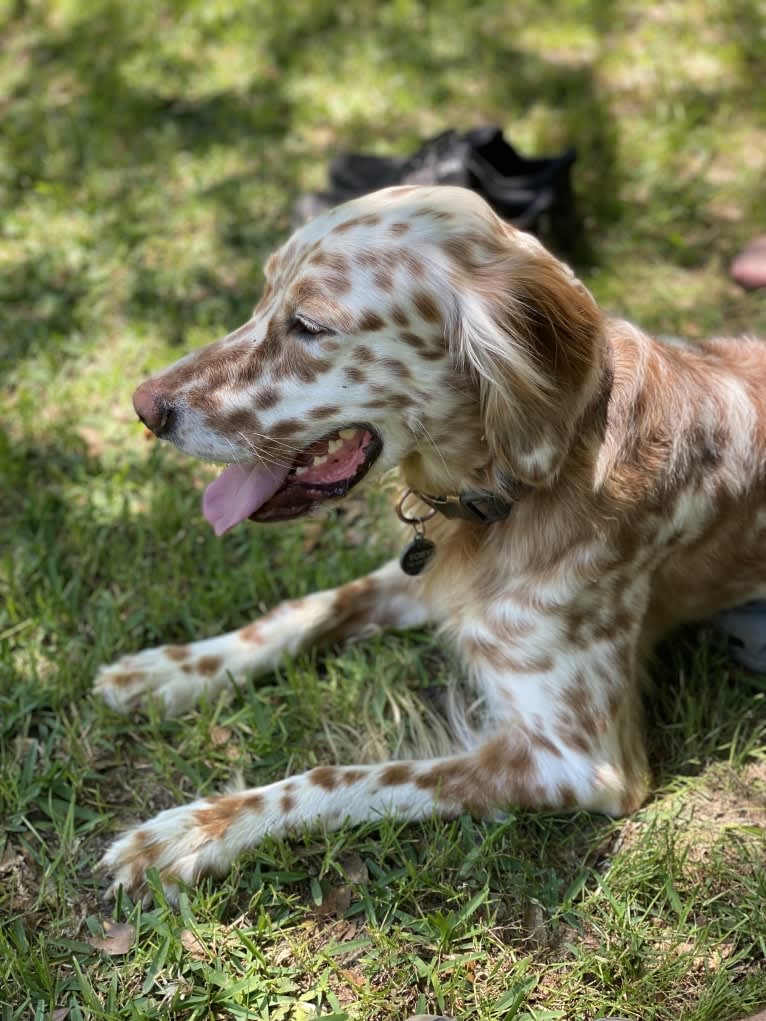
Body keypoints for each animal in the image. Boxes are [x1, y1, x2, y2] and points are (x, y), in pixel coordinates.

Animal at [99, 185, 766, 902]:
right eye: (263, 294)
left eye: (309, 325)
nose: (144, 407)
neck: (525, 481)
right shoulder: (428, 571)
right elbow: (305, 611)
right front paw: (168, 670)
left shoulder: (580, 759)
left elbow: (339, 775)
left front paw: (195, 831)